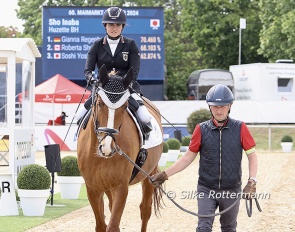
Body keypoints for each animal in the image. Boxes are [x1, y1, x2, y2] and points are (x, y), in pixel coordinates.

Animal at [77, 64, 163, 231]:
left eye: (124, 107)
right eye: (99, 103)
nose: (107, 148)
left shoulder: (121, 187)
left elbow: (113, 226)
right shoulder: (92, 188)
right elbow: (101, 225)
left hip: (150, 174)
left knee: (145, 210)